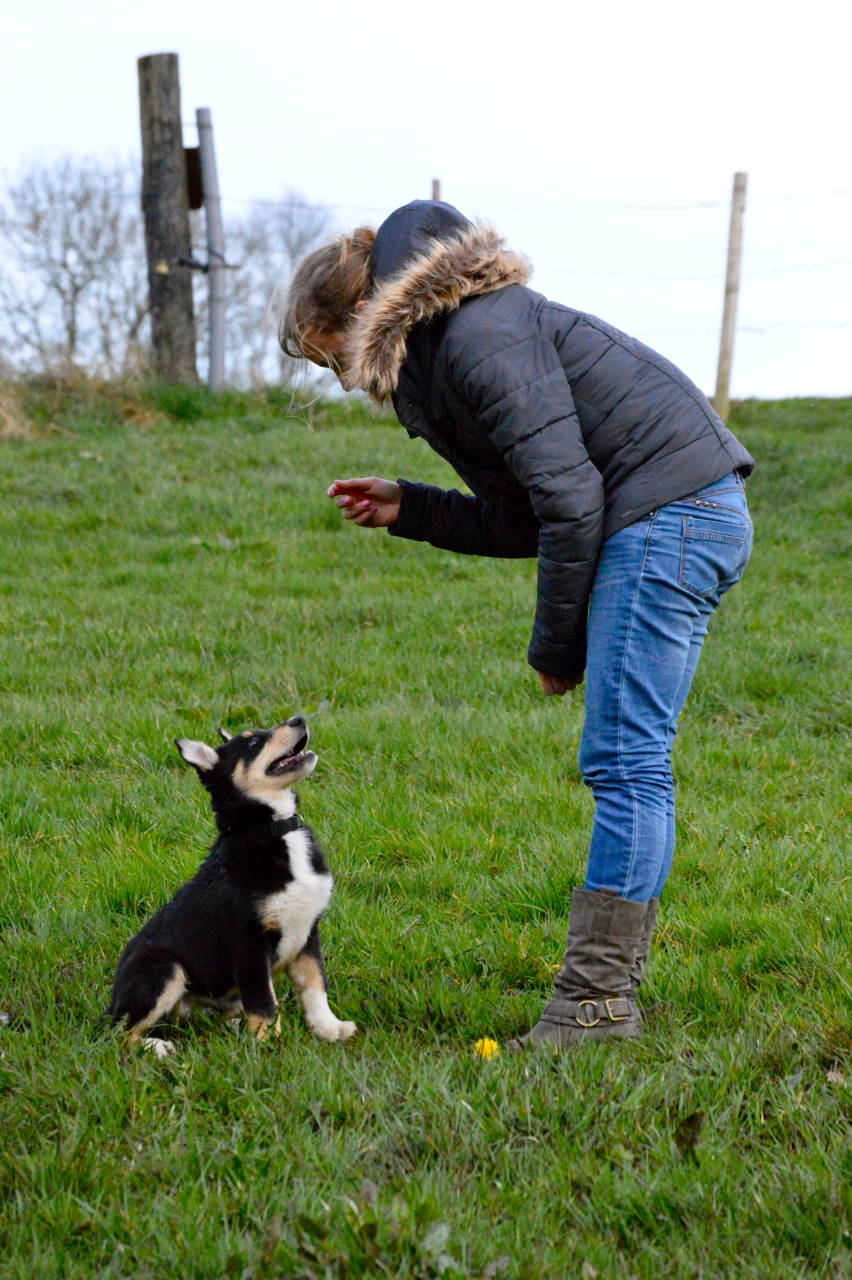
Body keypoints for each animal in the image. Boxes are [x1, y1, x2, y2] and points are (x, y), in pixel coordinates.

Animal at [107, 716, 356, 1056]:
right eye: (253, 742)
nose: (299, 719)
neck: (274, 828)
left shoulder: (308, 931)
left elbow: (315, 986)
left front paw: (329, 1028)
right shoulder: (249, 941)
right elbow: (264, 1001)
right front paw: (270, 1045)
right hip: (162, 968)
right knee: (118, 1032)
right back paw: (157, 1047)